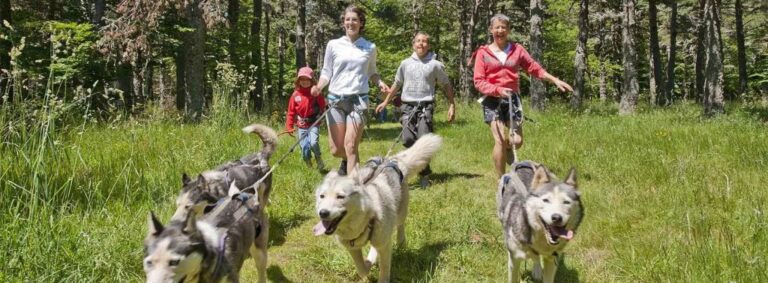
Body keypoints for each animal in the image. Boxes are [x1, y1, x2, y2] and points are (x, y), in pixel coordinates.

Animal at [314, 134, 444, 282]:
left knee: (400, 225)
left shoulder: (385, 246)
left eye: (340, 196)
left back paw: (401, 242)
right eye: (322, 196)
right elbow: (361, 268)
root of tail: (393, 160)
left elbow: (384, 269)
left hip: (400, 213)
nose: (323, 213)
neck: (365, 221)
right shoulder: (353, 249)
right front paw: (368, 264)